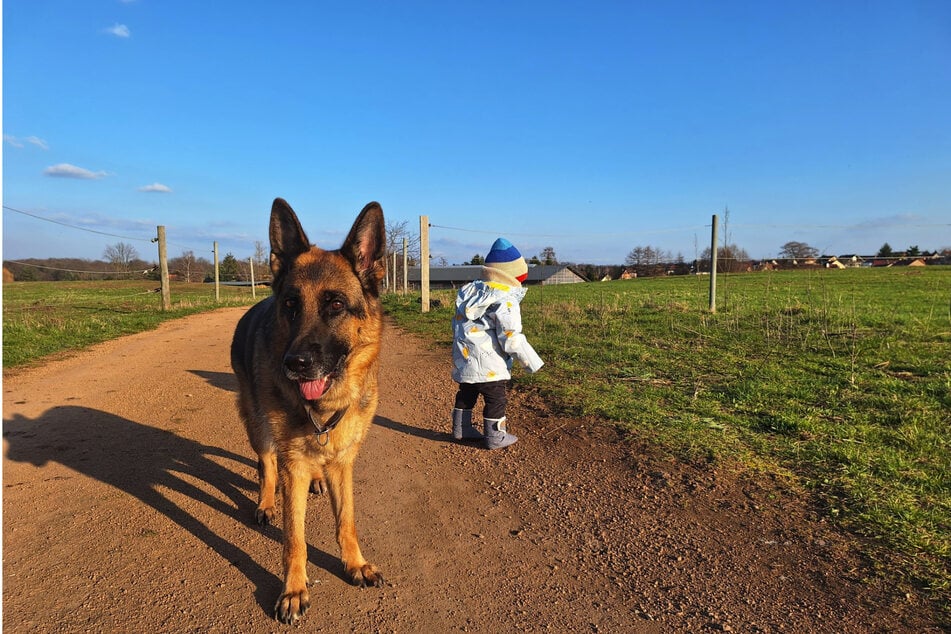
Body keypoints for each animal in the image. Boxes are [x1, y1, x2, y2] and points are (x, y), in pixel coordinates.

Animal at [231, 198, 386, 624]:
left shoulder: (343, 461)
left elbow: (346, 521)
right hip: (256, 425)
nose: (295, 364)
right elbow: (293, 538)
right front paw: (294, 590)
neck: (321, 407)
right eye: (290, 305)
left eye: (336, 305)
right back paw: (266, 502)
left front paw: (355, 564)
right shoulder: (293, 466)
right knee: (266, 464)